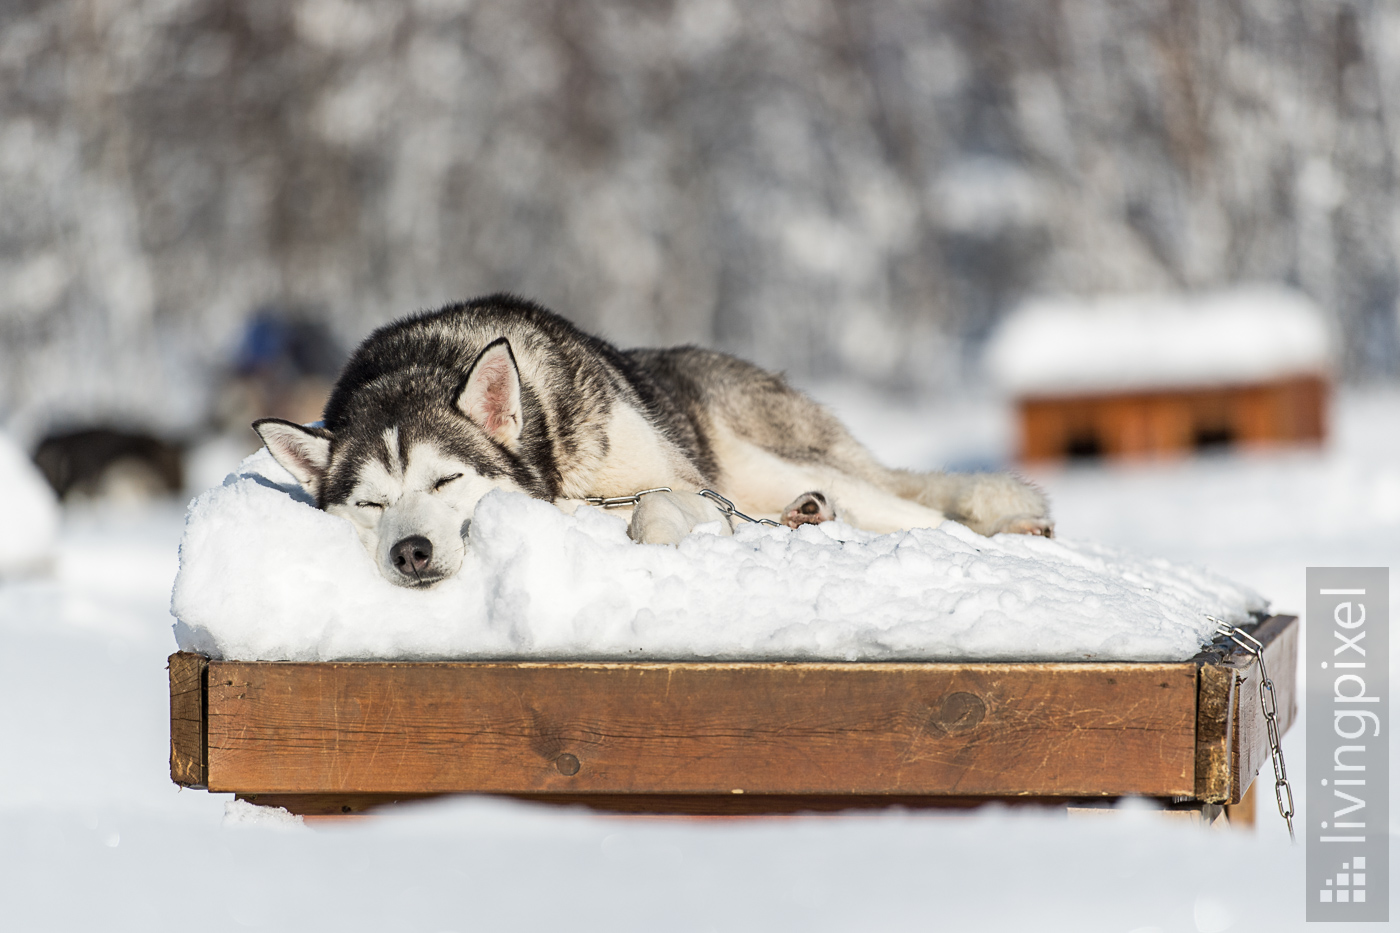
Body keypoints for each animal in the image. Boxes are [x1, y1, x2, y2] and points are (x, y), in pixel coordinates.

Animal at [260, 294, 1052, 585]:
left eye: (445, 480)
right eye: (370, 505)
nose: (412, 551)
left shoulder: (682, 484)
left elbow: (655, 507)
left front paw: (659, 540)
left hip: (759, 462)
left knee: (922, 510)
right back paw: (808, 516)